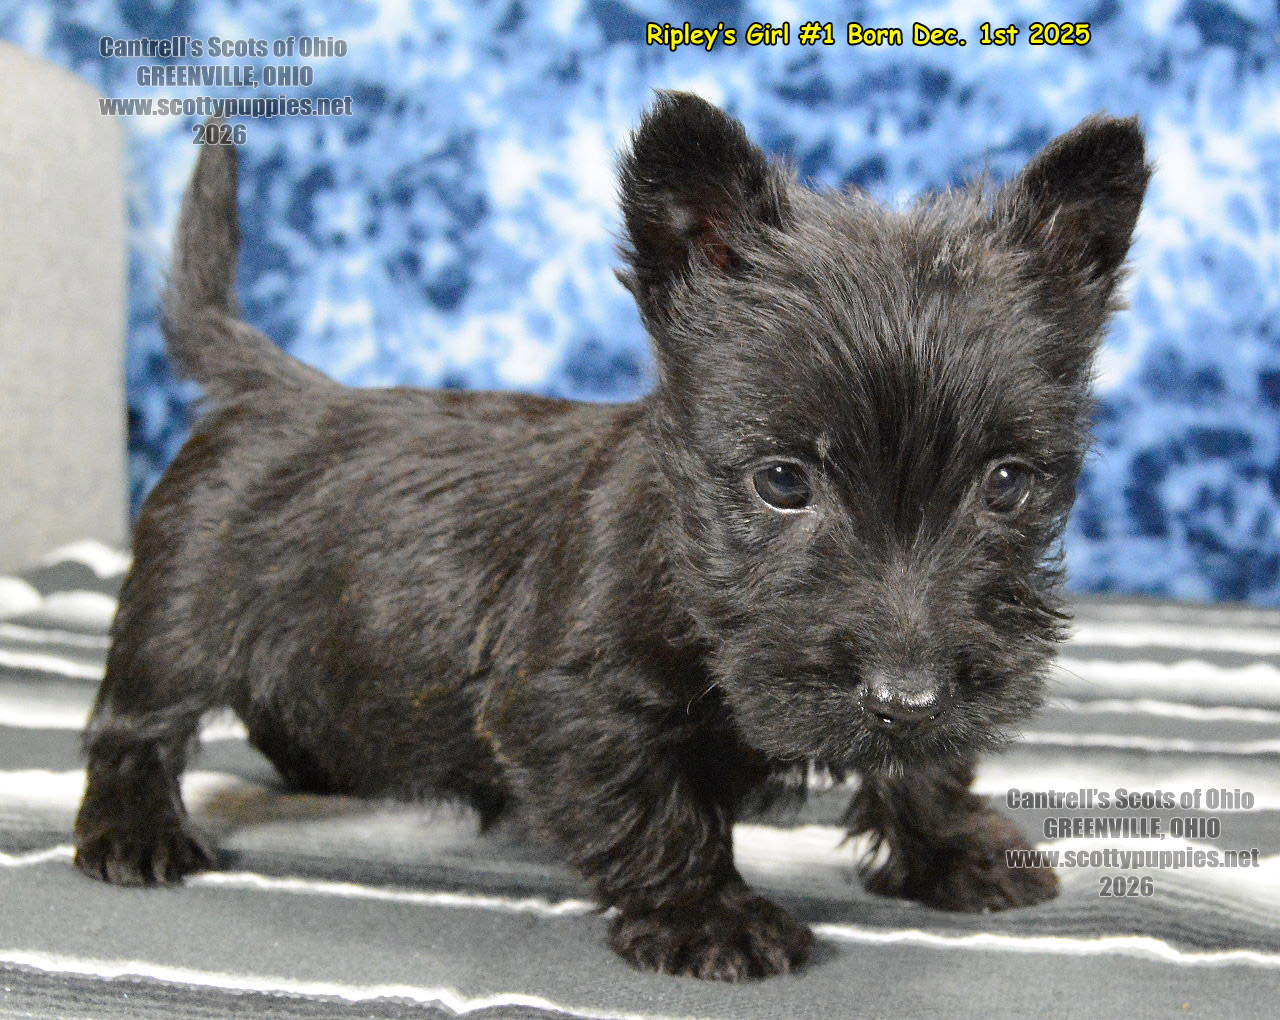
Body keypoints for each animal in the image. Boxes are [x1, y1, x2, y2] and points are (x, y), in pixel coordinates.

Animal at [74, 93, 1148, 980]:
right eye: (783, 481)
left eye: (1007, 485)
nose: (907, 696)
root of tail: (271, 384)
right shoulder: (567, 703)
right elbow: (654, 805)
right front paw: (711, 917)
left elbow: (926, 764)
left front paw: (954, 848)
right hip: (175, 617)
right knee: (133, 728)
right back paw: (135, 832)